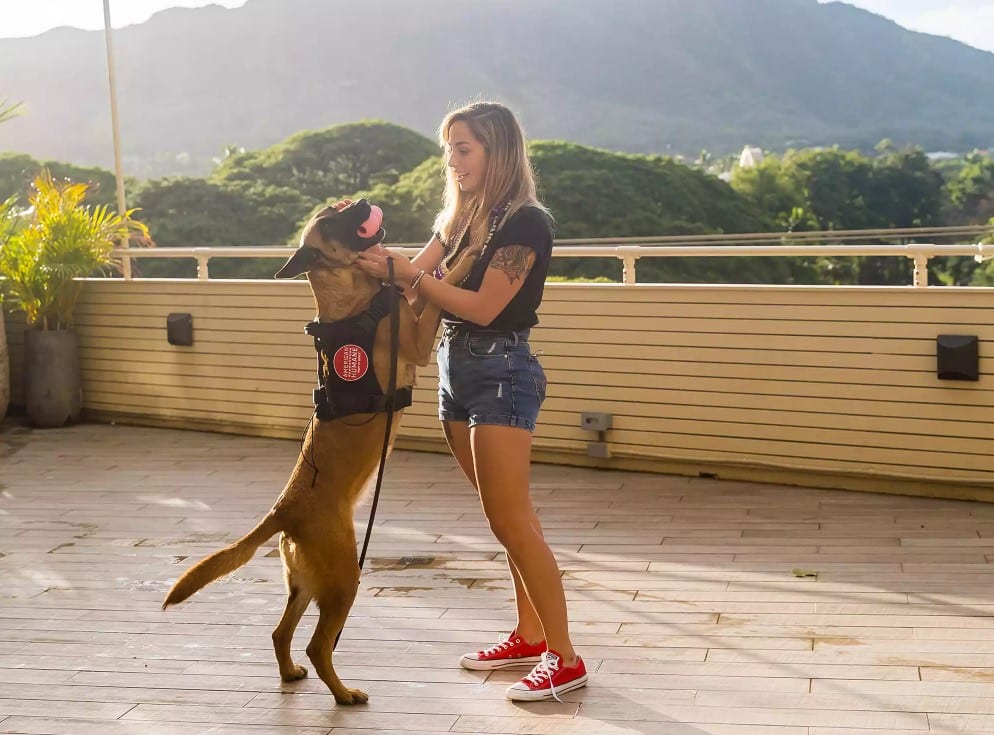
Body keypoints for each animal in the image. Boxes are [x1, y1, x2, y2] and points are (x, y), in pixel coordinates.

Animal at [164, 198, 450, 704]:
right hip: (344, 580)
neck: (352, 295)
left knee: (281, 633)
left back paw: (290, 674)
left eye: (341, 206)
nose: (362, 202)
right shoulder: (414, 341)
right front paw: (443, 261)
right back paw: (344, 694)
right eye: (333, 221)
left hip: (305, 585)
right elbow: (429, 295)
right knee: (319, 646)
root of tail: (284, 511)